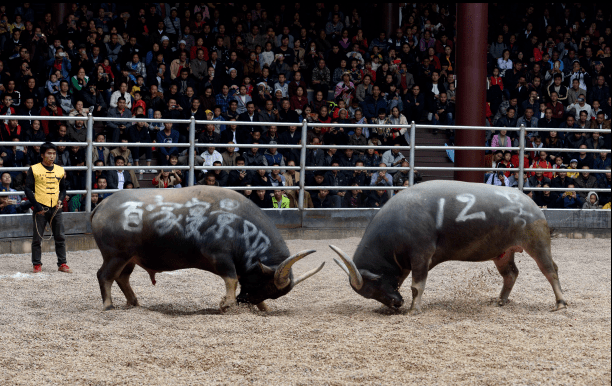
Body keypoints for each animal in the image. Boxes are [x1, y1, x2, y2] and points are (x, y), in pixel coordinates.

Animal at [91, 185, 326, 312]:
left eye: (270, 292)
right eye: (263, 284)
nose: (244, 301)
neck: (239, 225)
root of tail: (101, 206)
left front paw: (262, 308)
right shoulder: (219, 257)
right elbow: (231, 278)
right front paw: (227, 304)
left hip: (130, 258)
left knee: (122, 278)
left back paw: (133, 302)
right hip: (116, 256)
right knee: (105, 276)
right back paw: (108, 305)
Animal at [332, 181, 568, 314]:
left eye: (375, 282)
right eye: (369, 293)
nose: (396, 303)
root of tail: (532, 206)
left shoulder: (421, 256)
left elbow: (417, 286)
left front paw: (414, 310)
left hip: (537, 244)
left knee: (551, 270)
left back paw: (560, 303)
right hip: (502, 253)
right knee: (511, 274)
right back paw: (500, 300)